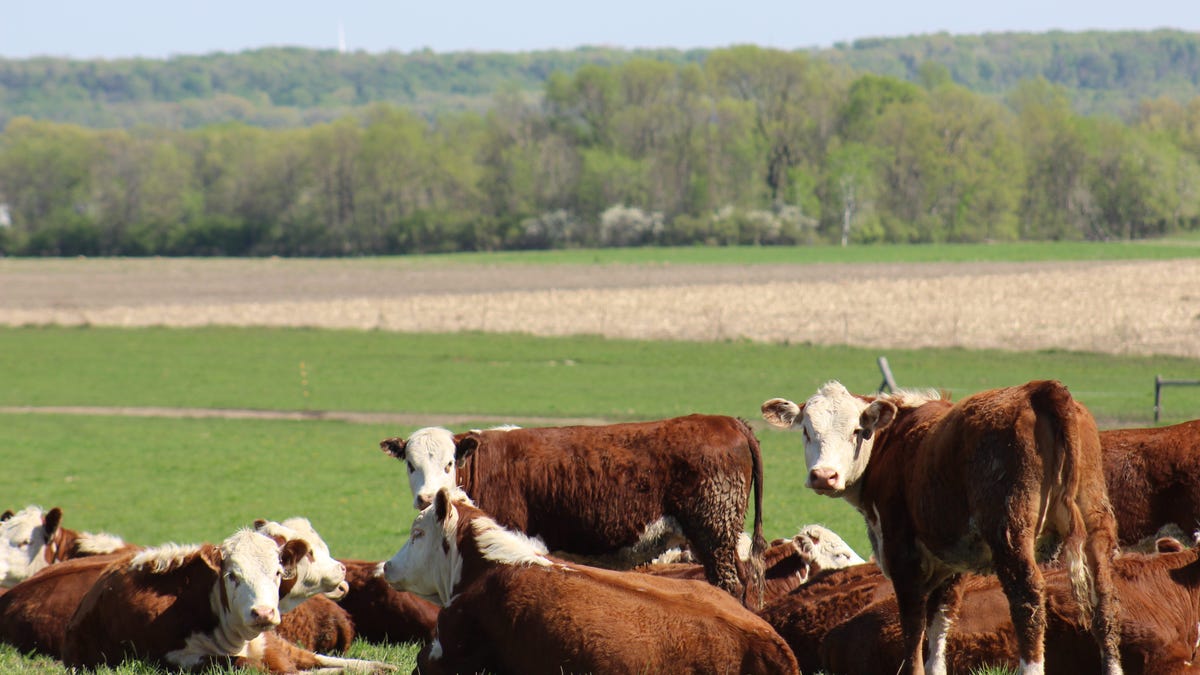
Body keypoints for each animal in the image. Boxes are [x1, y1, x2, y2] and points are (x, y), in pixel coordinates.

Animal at [380, 414, 768, 603]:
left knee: (730, 584)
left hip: (713, 529)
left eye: (449, 463)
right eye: (411, 464)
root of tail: (727, 421)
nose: (428, 497)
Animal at [762, 380, 1124, 675]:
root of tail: (1041, 391)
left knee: (1027, 598)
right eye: (807, 431)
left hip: (1010, 530)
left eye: (856, 430)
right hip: (1095, 522)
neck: (894, 443)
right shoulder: (951, 562)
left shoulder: (903, 555)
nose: (824, 476)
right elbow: (939, 623)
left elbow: (914, 625)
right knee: (1103, 598)